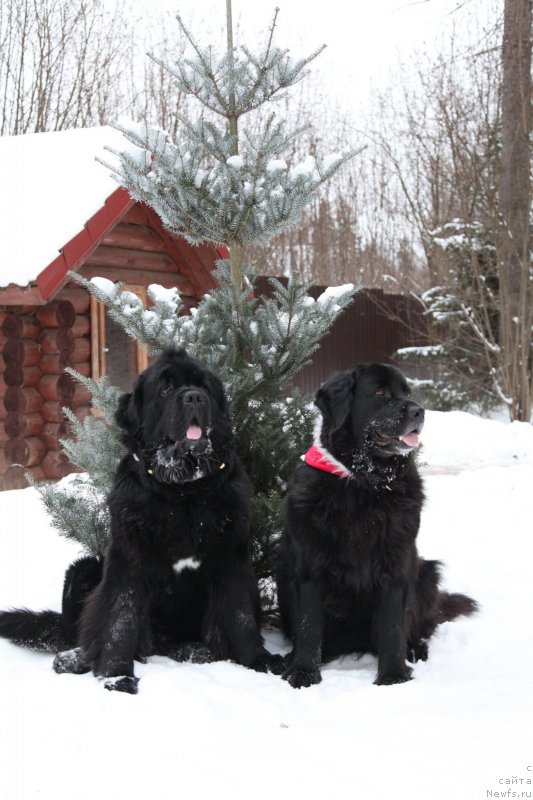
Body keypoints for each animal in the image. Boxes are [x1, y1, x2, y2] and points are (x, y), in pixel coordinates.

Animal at [0, 350, 280, 692]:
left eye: (205, 387)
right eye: (165, 388)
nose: (194, 397)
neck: (182, 491)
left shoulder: (232, 558)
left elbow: (240, 616)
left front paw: (258, 661)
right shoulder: (128, 559)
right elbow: (120, 619)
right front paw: (116, 675)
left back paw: (193, 650)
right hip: (82, 570)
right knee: (82, 633)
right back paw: (72, 659)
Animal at [276, 366, 476, 692]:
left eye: (407, 393)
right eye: (380, 393)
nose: (419, 411)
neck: (365, 484)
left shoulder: (396, 565)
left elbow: (393, 626)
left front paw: (393, 676)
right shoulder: (309, 567)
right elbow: (308, 625)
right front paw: (303, 672)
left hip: (426, 572)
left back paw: (415, 650)